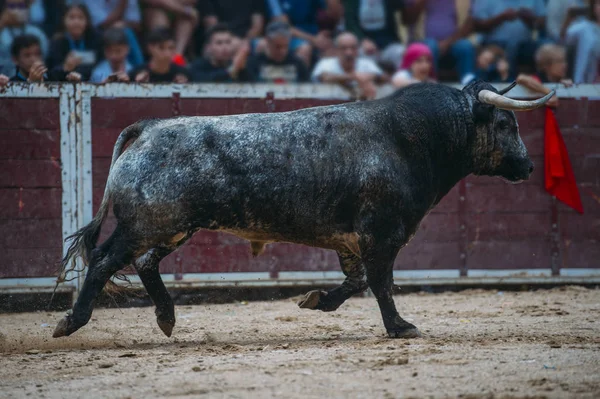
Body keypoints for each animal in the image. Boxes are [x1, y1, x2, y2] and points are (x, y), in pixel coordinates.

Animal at [51, 80, 552, 340]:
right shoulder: (382, 233)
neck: (413, 136)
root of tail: (150, 126)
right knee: (105, 260)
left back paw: (166, 318)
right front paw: (400, 327)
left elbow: (356, 281)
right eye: (506, 123)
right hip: (147, 223)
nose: (529, 166)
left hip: (175, 227)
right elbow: (381, 282)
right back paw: (71, 322)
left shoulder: (352, 239)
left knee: (145, 263)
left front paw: (316, 300)